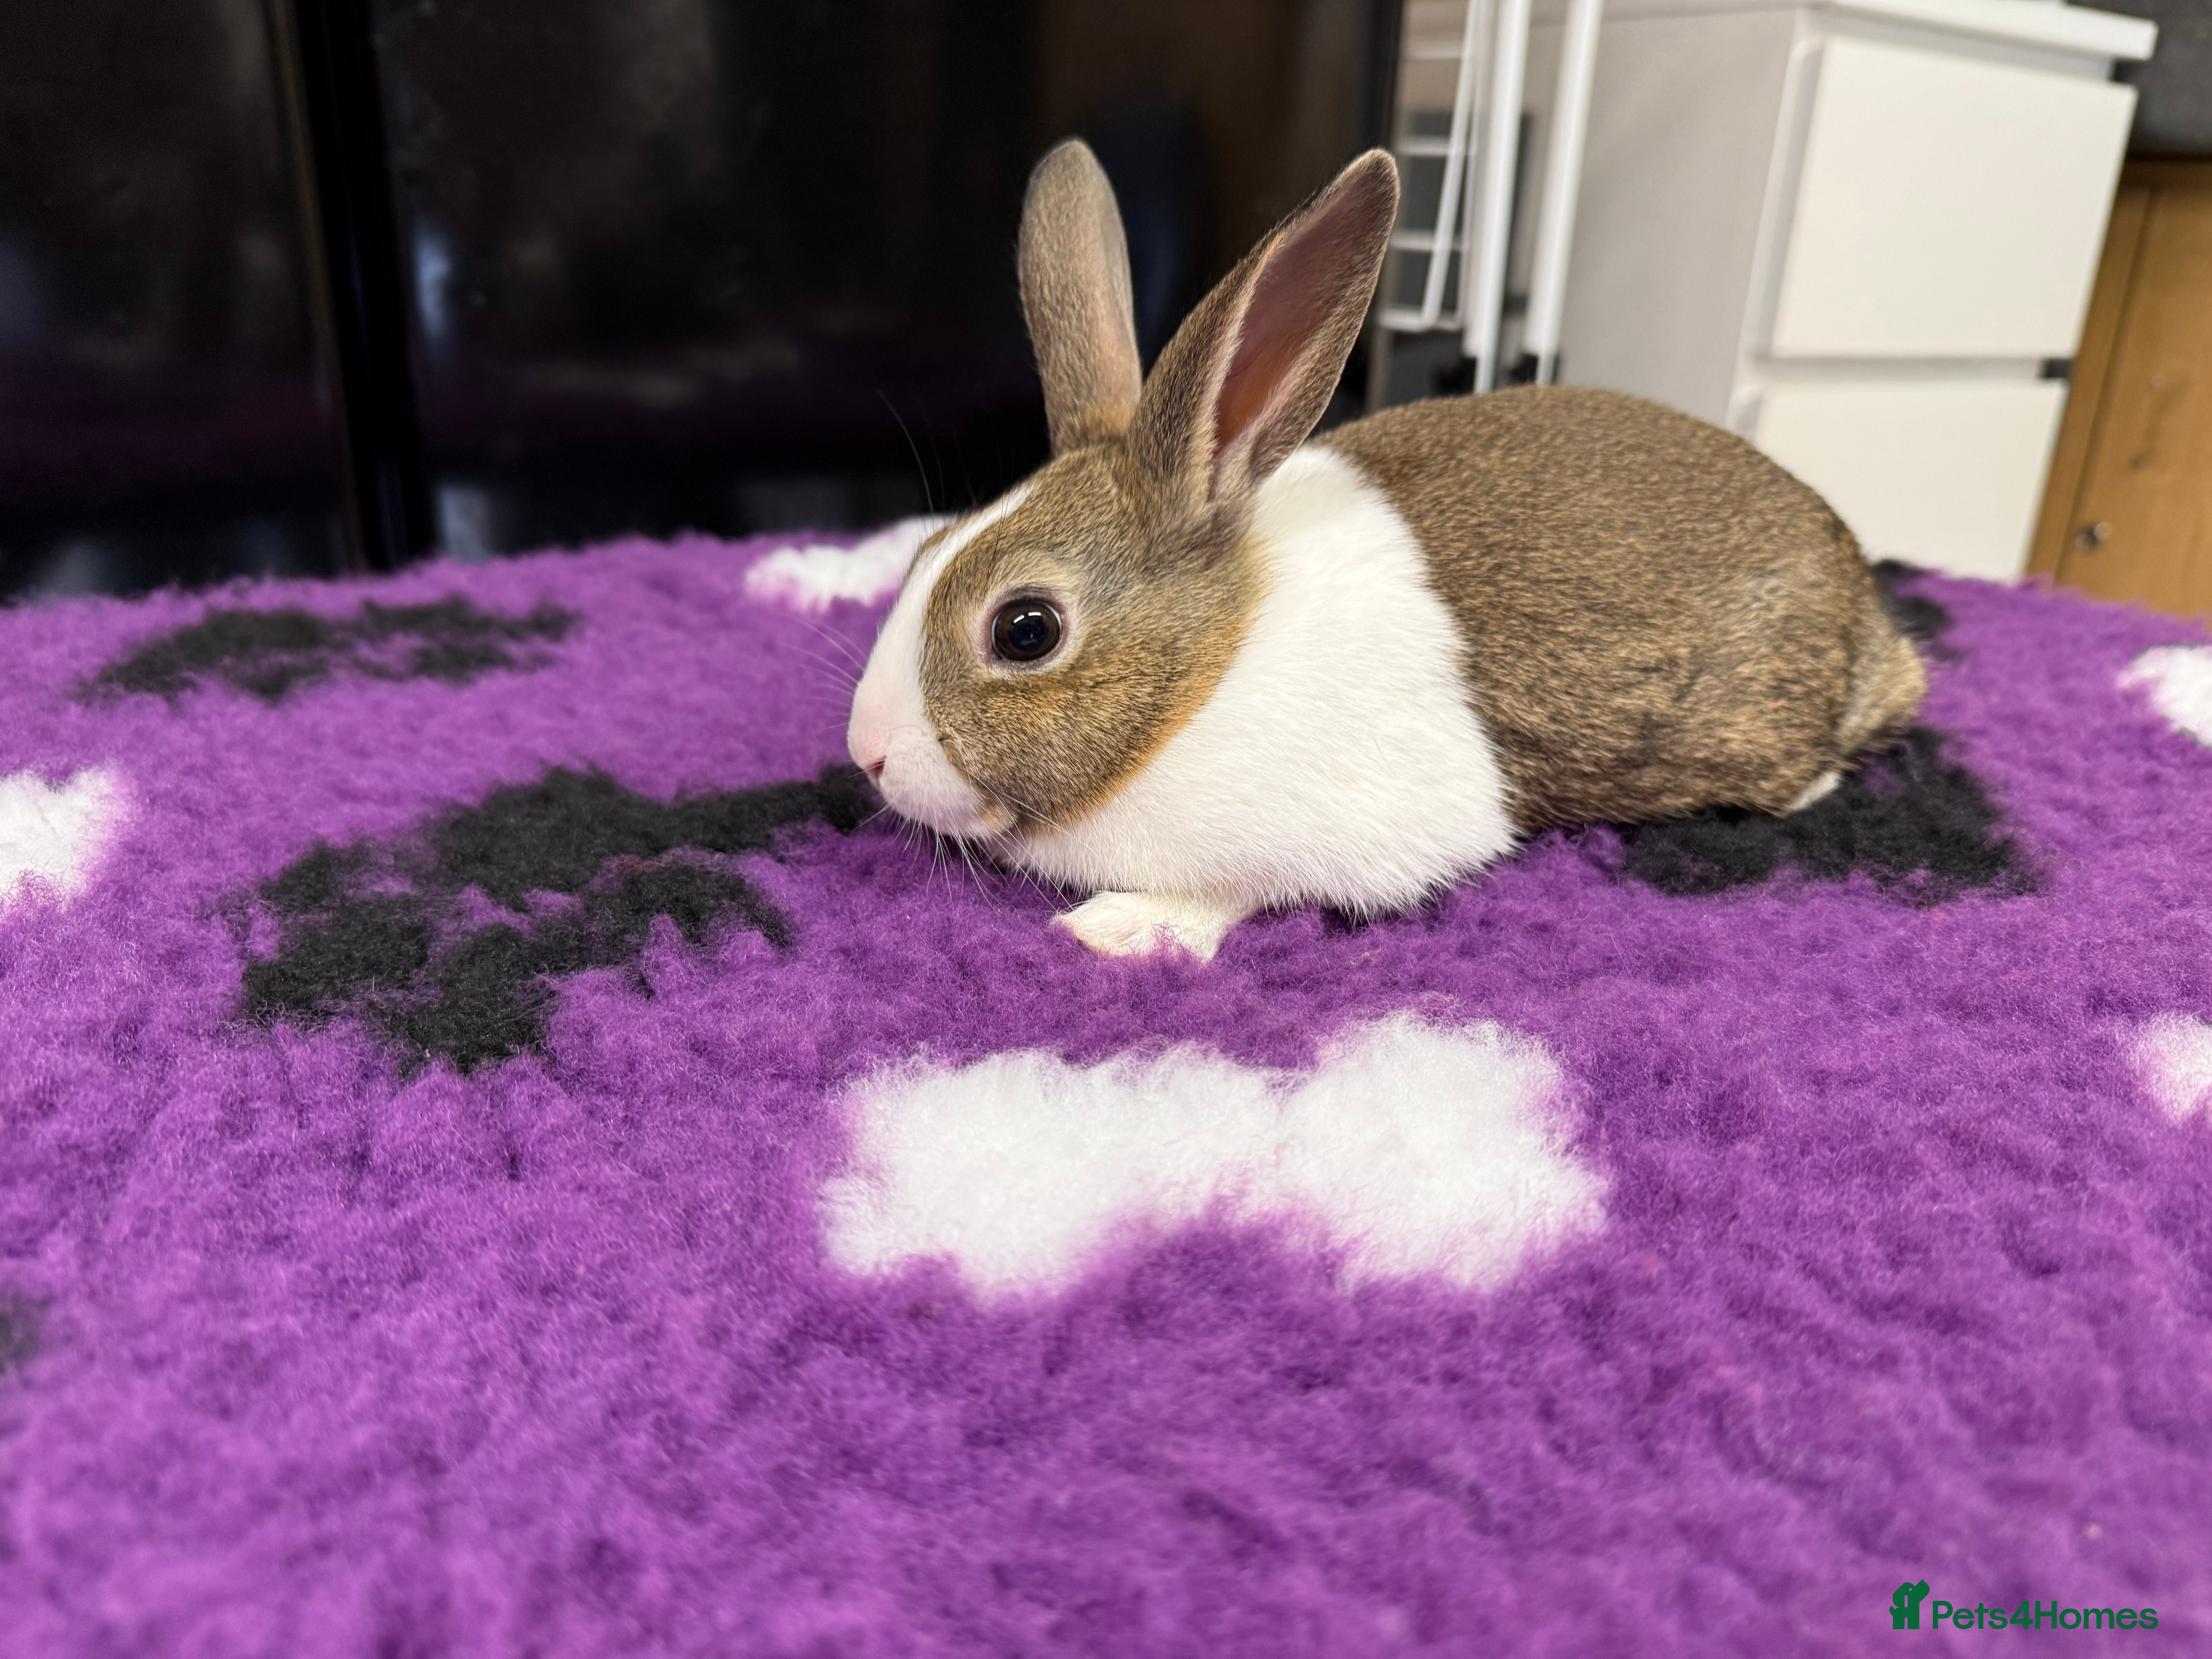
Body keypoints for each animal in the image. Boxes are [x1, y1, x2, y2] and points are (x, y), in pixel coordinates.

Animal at [845, 140, 1927, 960]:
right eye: (922, 552)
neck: (1205, 678)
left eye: (1026, 630)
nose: (867, 754)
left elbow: (1237, 888)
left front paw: (1122, 929)